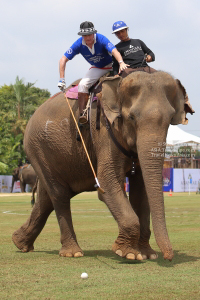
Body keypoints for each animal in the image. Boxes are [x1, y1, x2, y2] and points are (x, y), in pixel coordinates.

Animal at [12, 71, 194, 260]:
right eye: (131, 117)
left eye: (169, 120)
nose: (168, 257)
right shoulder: (105, 133)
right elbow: (107, 184)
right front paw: (128, 254)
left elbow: (142, 191)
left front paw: (147, 255)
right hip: (36, 147)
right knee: (59, 194)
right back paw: (73, 253)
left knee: (46, 196)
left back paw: (20, 243)